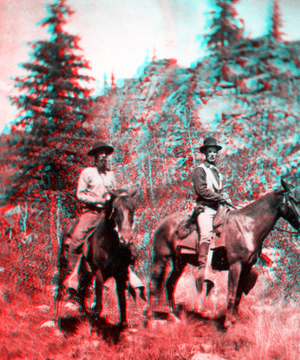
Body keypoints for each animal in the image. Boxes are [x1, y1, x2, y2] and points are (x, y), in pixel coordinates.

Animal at [53, 188, 137, 330]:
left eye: (133, 208)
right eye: (115, 208)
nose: (126, 239)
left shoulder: (121, 273)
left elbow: (122, 301)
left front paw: (123, 326)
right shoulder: (98, 272)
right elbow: (98, 305)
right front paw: (95, 326)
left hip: (87, 273)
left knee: (81, 292)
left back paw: (84, 316)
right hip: (64, 266)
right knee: (60, 290)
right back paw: (56, 321)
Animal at [146, 180, 300, 326]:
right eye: (294, 199)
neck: (247, 228)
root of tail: (163, 223)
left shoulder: (246, 267)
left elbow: (238, 296)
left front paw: (234, 322)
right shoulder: (235, 265)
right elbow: (231, 294)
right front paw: (227, 323)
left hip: (180, 262)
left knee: (169, 284)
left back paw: (174, 316)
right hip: (161, 258)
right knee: (153, 284)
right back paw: (150, 318)